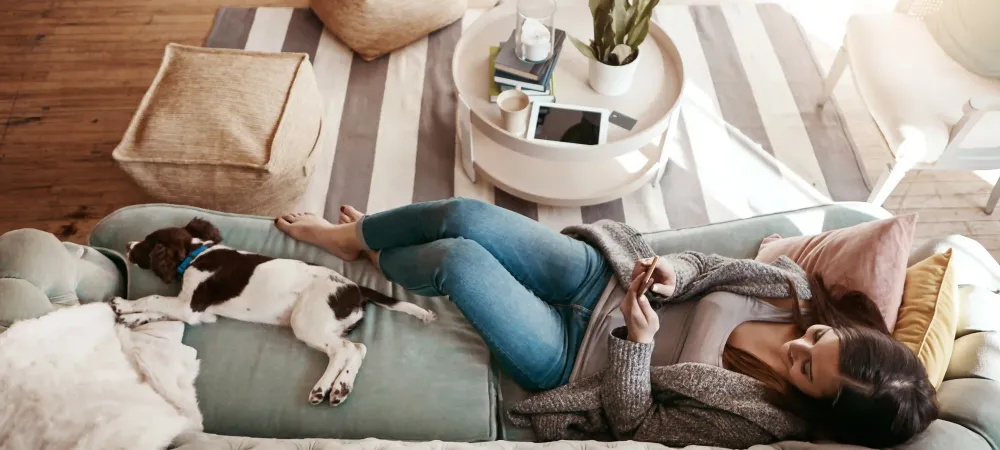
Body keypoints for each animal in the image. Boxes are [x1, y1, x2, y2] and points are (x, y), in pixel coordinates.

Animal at [109, 218, 434, 408]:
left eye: (146, 244)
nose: (126, 244)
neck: (196, 253)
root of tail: (354, 287)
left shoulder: (190, 305)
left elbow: (154, 298)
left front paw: (125, 305)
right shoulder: (198, 313)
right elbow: (158, 311)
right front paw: (131, 317)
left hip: (305, 321)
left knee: (343, 350)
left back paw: (323, 388)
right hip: (328, 325)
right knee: (357, 348)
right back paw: (340, 387)